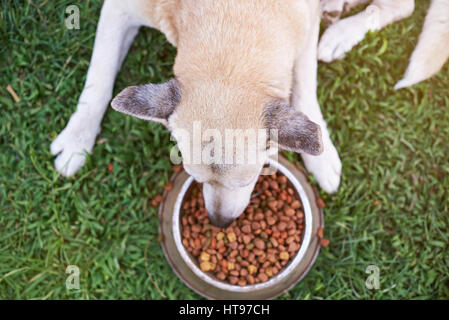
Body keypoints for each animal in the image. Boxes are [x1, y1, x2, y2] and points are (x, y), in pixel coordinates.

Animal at [50, 0, 342, 228]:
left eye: (249, 180)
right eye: (195, 177)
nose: (219, 223)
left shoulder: (306, 29)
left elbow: (304, 86)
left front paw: (322, 155)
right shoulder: (117, 9)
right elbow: (99, 76)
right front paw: (77, 139)